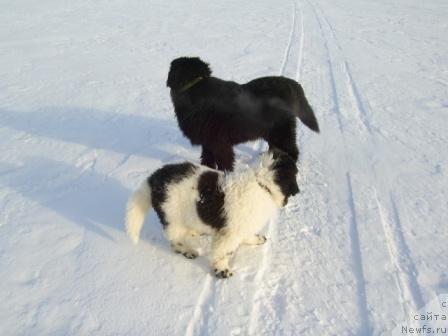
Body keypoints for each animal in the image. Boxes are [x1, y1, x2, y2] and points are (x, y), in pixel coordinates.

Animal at [125, 150, 298, 278]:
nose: (297, 191)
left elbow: (247, 235)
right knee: (175, 241)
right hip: (173, 218)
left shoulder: (243, 225)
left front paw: (256, 239)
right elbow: (223, 252)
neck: (262, 185)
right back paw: (188, 250)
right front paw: (222, 270)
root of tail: (153, 178)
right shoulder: (229, 233)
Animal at [167, 57, 318, 171]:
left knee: (292, 151)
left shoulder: (219, 142)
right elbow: (207, 159)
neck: (194, 88)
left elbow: (224, 162)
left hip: (281, 130)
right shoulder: (207, 141)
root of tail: (291, 83)